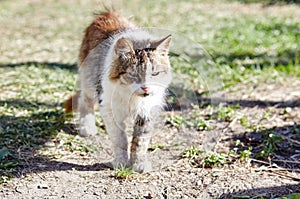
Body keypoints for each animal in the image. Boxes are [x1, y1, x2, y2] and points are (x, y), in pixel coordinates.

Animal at [65, 11, 171, 173]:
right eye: (133, 74)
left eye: (155, 74)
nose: (146, 87)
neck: (132, 98)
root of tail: (107, 13)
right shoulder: (109, 107)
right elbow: (120, 138)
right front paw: (121, 162)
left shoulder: (147, 111)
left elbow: (140, 141)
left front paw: (138, 164)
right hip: (89, 81)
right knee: (85, 101)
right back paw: (87, 127)